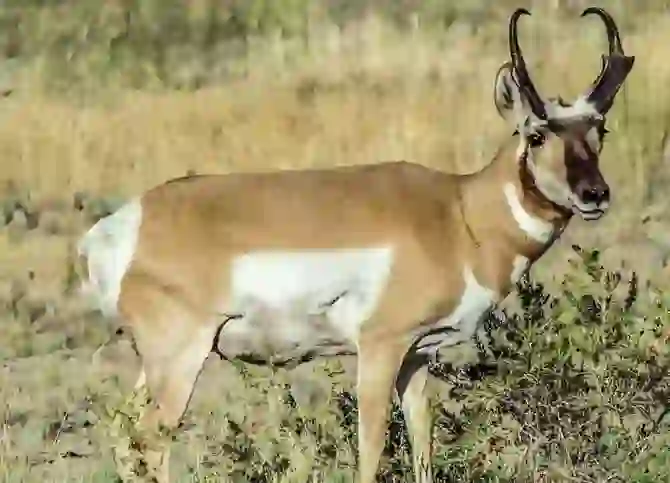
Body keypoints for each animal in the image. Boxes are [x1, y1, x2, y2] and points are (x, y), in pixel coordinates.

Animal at [77, 6, 636, 483]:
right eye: (536, 135)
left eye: (601, 130)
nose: (595, 195)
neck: (459, 215)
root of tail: (122, 226)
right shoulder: (379, 347)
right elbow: (371, 449)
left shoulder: (417, 355)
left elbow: (422, 441)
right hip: (182, 355)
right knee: (151, 439)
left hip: (158, 362)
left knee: (124, 434)